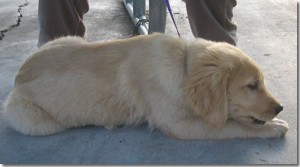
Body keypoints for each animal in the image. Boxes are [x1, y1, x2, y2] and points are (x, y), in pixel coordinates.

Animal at [1, 33, 288, 139]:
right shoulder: (178, 125)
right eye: (252, 86)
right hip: (33, 120)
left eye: (261, 82)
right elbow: (234, 126)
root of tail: (18, 76)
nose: (280, 108)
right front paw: (275, 127)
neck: (183, 67)